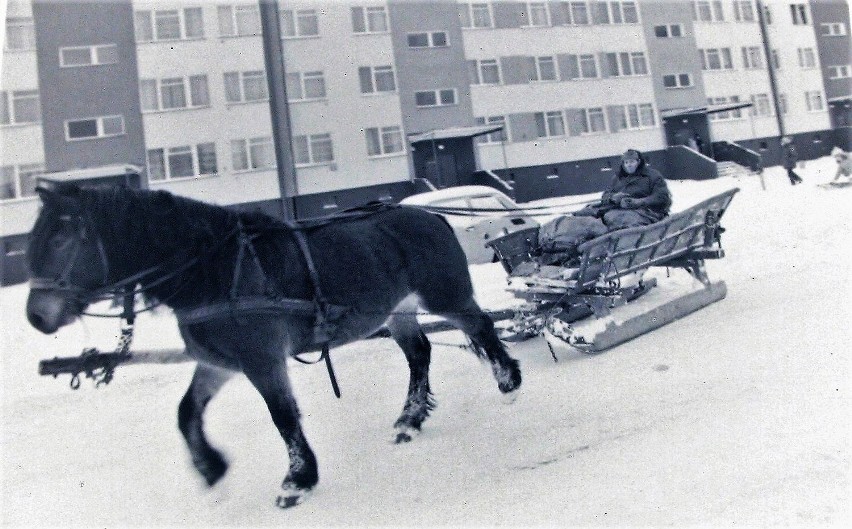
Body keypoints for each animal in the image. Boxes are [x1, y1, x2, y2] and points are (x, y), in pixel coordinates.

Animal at [26, 183, 524, 508]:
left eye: (61, 238)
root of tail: (431, 215)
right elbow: (187, 412)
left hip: (444, 295)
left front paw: (297, 481)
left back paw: (508, 381)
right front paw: (211, 468)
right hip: (397, 310)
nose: (36, 316)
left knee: (480, 326)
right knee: (420, 353)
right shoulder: (220, 362)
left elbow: (283, 417)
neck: (213, 270)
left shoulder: (261, 360)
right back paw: (409, 420)